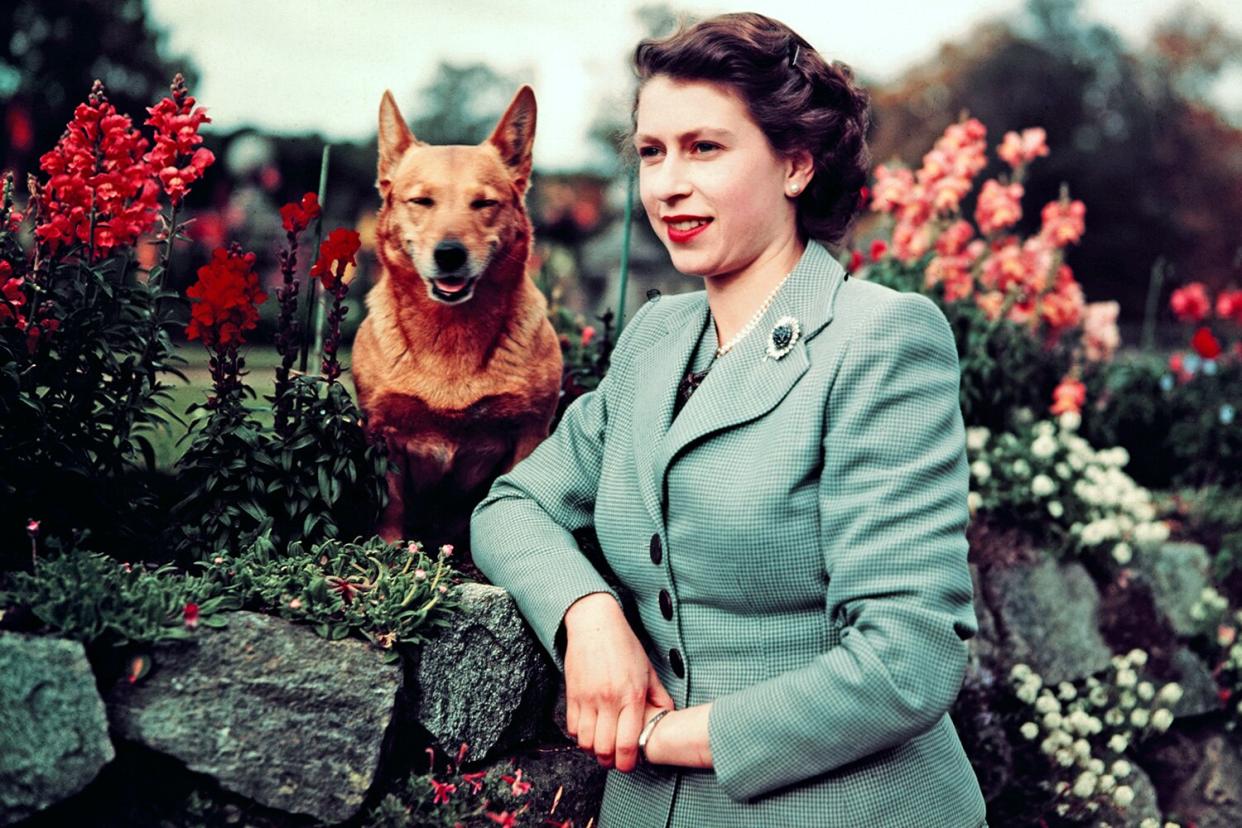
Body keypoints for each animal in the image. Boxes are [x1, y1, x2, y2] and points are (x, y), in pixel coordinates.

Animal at [350, 87, 563, 553]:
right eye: (421, 201)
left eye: (483, 203)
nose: (449, 254)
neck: (451, 335)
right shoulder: (383, 432)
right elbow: (390, 508)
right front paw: (389, 554)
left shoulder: (529, 433)